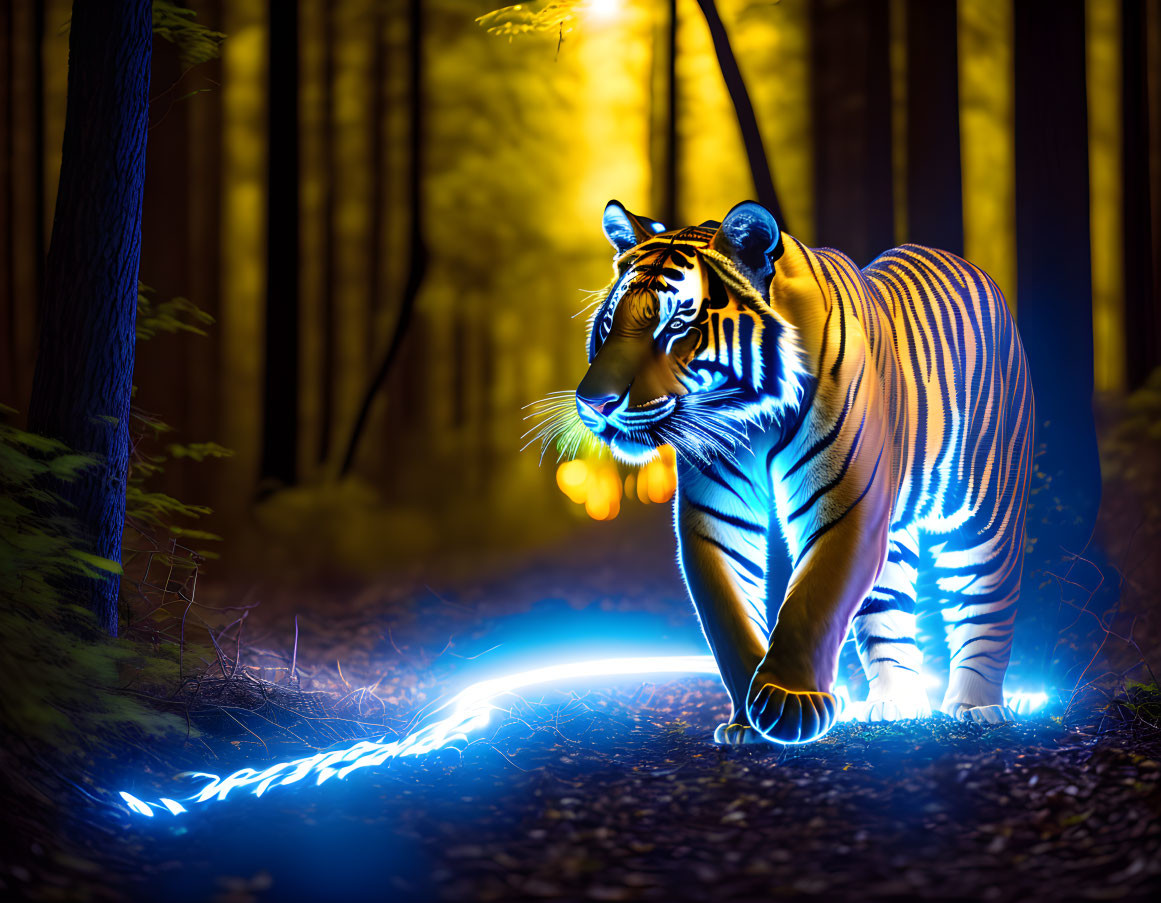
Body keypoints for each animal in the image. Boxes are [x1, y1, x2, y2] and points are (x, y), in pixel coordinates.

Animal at [543, 200, 1035, 742]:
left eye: (674, 327)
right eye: (610, 323)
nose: (594, 402)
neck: (749, 413)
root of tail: (965, 264)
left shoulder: (846, 503)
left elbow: (814, 599)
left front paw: (788, 704)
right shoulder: (716, 519)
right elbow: (730, 616)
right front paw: (747, 722)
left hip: (984, 512)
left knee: (986, 600)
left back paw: (977, 706)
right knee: (887, 609)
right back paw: (895, 704)